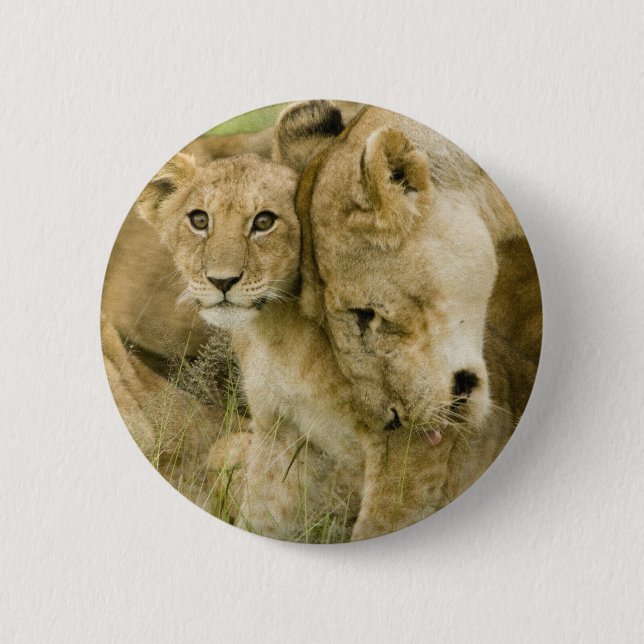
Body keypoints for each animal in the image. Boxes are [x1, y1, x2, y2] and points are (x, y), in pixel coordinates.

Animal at [136, 150, 364, 542]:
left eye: (264, 221)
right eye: (199, 220)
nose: (222, 281)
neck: (276, 331)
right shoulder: (277, 426)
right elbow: (266, 507)